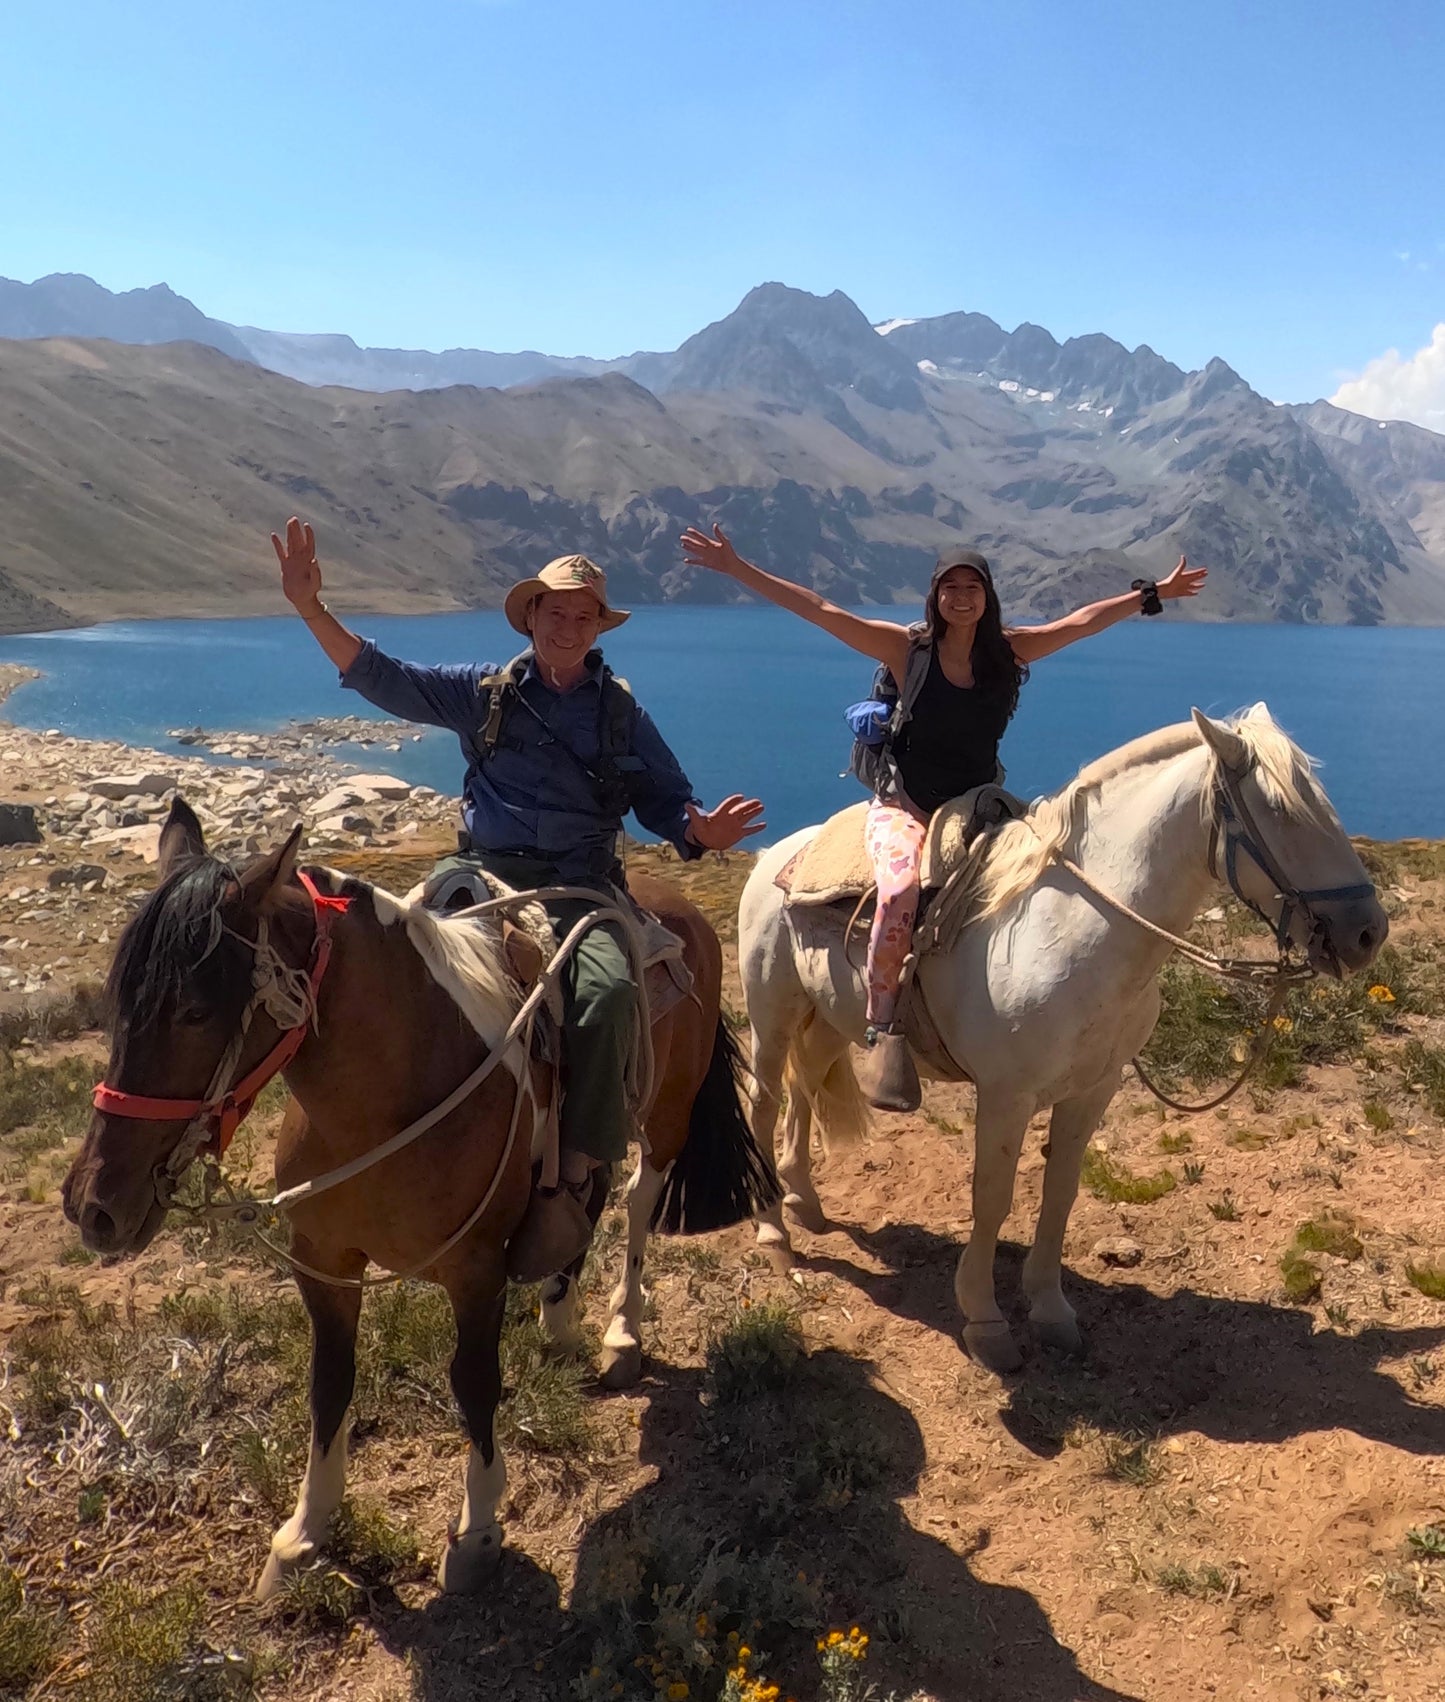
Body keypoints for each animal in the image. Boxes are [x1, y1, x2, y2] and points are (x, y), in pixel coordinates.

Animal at [64, 796, 779, 1593]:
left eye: (193, 1011)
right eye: (118, 1003)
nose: (94, 1207)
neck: (390, 1091)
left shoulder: (475, 1270)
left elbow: (474, 1383)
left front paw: (478, 1529)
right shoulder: (325, 1265)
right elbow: (329, 1384)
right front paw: (303, 1534)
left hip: (666, 1115)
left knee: (635, 1203)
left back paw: (621, 1332)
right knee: (584, 1201)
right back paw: (561, 1320)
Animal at [745, 704, 1388, 1368]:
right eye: (1283, 811)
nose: (1367, 933)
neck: (1070, 931)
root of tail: (776, 854)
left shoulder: (1092, 1090)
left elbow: (1060, 1192)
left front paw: (1050, 1311)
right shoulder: (1006, 1096)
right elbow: (992, 1198)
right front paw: (986, 1321)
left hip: (828, 1018)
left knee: (804, 1087)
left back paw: (804, 1202)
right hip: (770, 1013)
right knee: (765, 1101)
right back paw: (773, 1233)